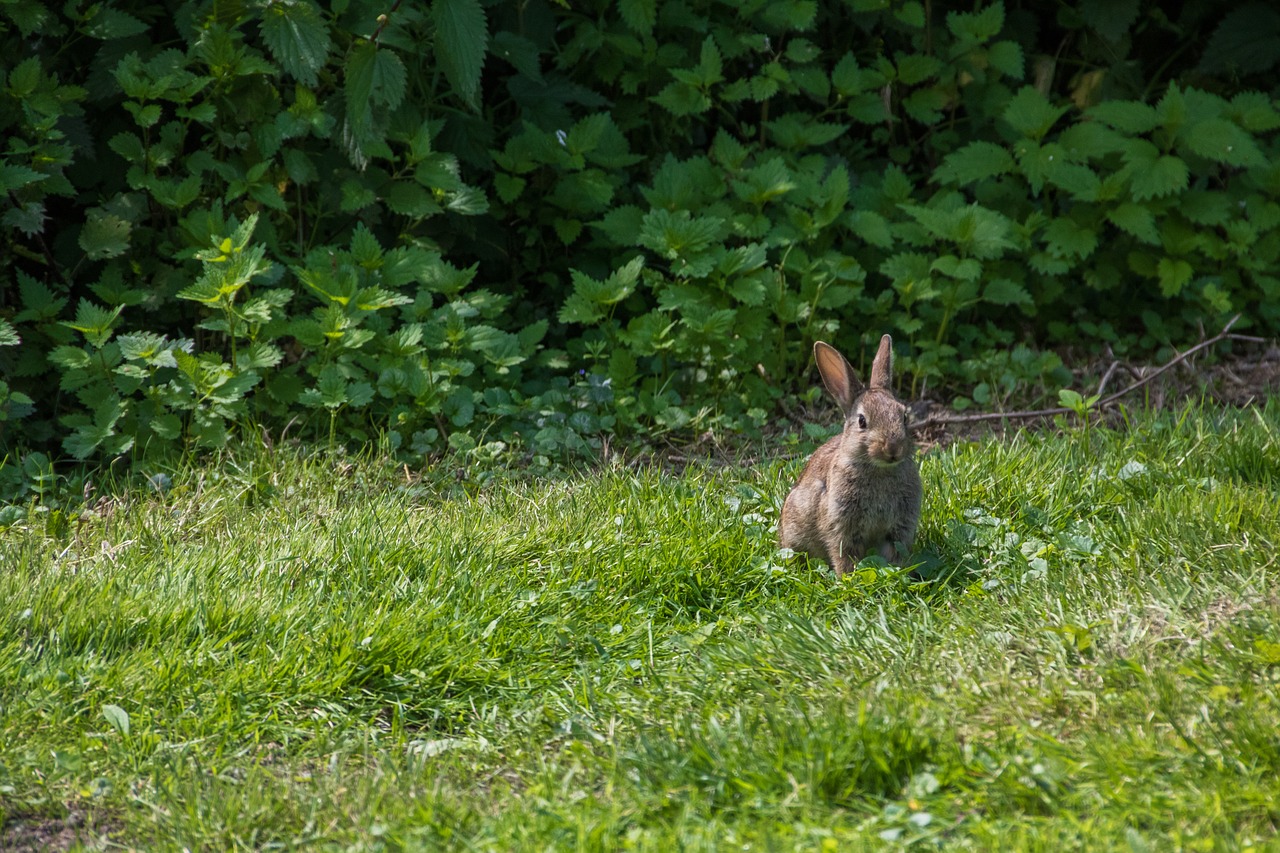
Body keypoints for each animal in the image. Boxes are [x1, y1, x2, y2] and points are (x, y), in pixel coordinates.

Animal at [778, 333, 921, 578]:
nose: (893, 448)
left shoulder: (900, 526)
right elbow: (844, 554)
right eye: (862, 421)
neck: (879, 470)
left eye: (904, 417)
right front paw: (848, 577)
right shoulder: (842, 525)